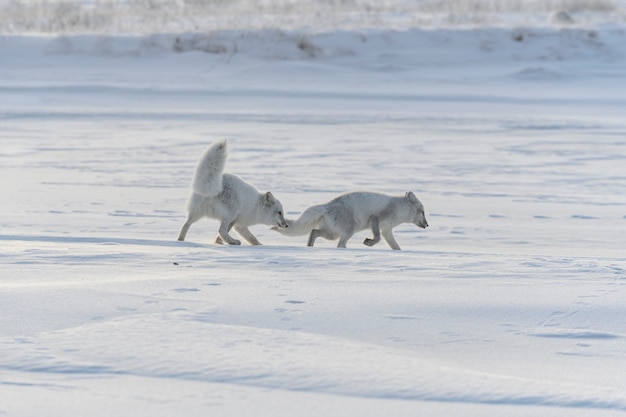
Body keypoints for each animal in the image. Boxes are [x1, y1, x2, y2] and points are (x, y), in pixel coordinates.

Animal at [270, 191, 426, 249]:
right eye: (422, 212)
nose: (427, 224)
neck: (398, 209)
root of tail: (327, 206)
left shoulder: (387, 230)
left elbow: (394, 245)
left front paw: (399, 252)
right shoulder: (375, 219)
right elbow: (377, 238)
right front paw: (369, 242)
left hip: (331, 233)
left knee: (314, 231)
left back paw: (310, 246)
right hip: (347, 231)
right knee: (339, 244)